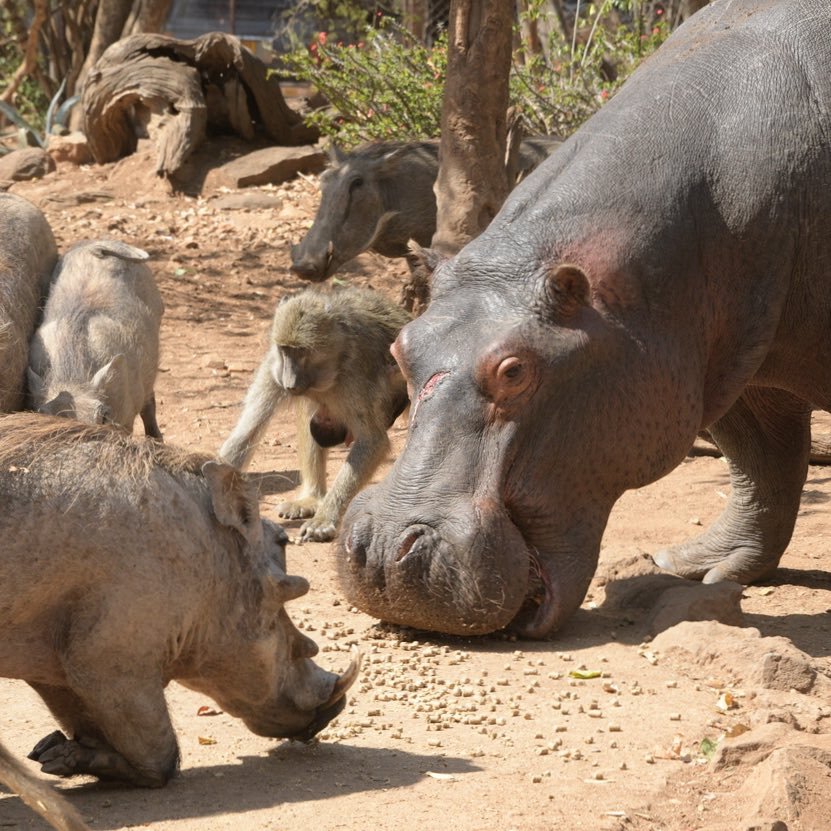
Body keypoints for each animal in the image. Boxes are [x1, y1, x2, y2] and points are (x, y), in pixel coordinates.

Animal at [336, 0, 831, 638]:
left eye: (515, 371)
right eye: (401, 347)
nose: (383, 551)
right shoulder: (724, 358)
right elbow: (762, 460)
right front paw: (699, 569)